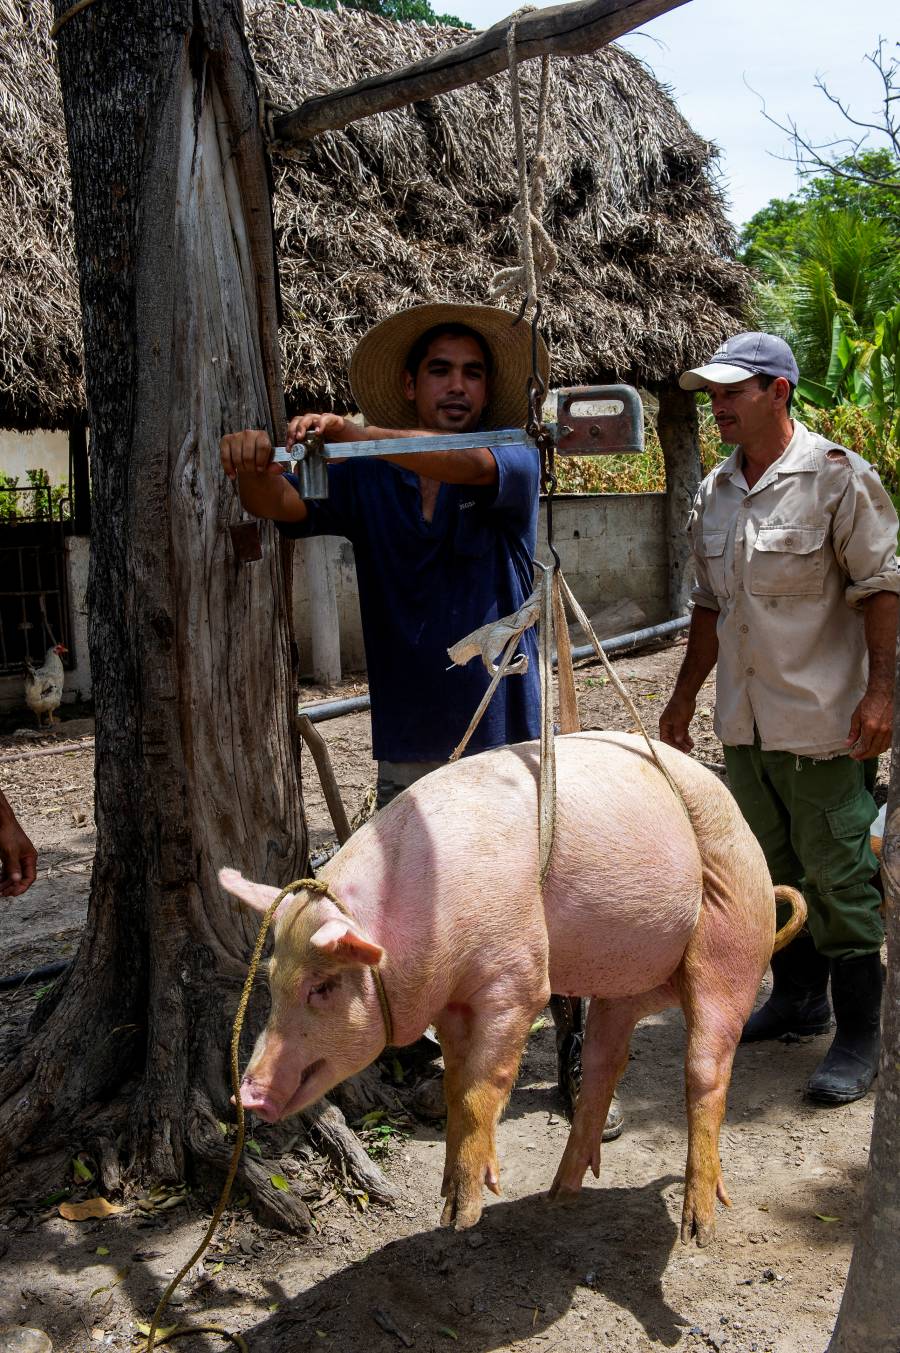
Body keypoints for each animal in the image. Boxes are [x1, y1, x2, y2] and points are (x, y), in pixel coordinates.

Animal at [220, 736, 801, 1239]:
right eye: (272, 979)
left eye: (322, 986)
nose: (246, 1093)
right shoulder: (451, 1001)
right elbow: (458, 1084)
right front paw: (460, 1188)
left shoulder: (516, 977)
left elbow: (486, 1083)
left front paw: (460, 1216)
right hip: (622, 987)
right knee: (604, 1066)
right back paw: (559, 1195)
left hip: (731, 944)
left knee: (707, 1072)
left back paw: (696, 1228)